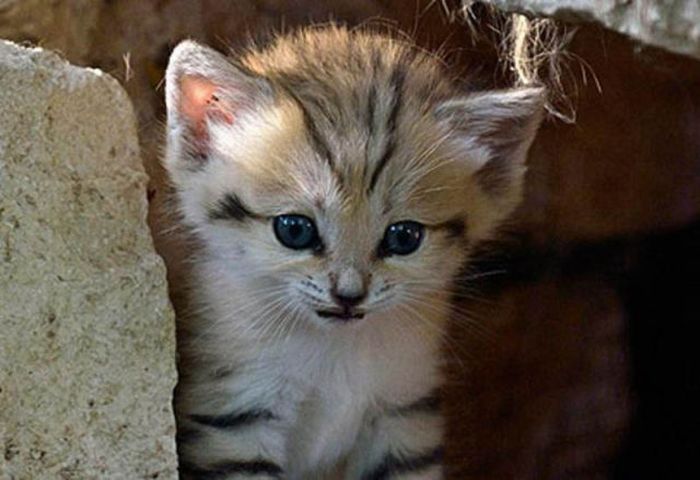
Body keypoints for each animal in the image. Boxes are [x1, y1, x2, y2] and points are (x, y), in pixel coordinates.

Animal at [165, 26, 548, 480]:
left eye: (404, 237)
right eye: (294, 230)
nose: (349, 295)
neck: (334, 353)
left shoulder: (404, 415)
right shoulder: (235, 417)